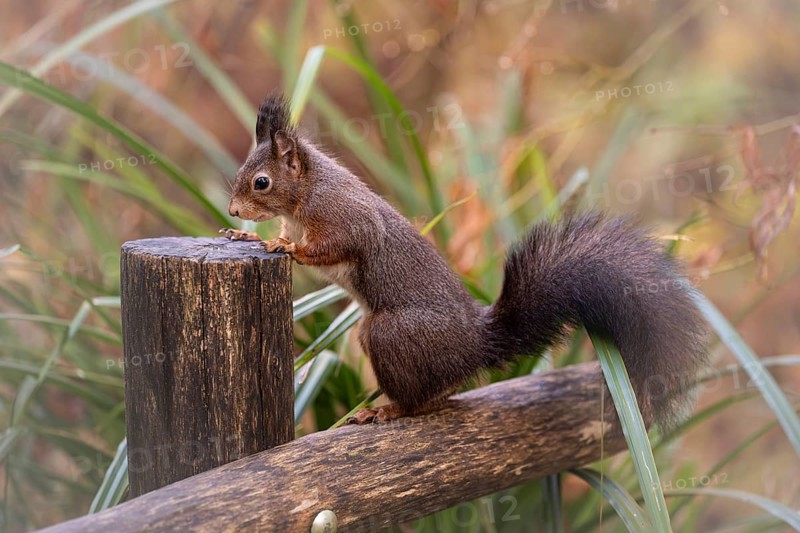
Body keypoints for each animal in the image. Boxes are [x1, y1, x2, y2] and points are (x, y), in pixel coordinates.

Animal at [224, 94, 708, 428]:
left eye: (261, 182)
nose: (231, 210)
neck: (306, 193)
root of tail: (475, 344)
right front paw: (249, 235)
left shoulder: (345, 219)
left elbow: (332, 248)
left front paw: (286, 249)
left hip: (390, 334)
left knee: (417, 398)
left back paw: (387, 410)